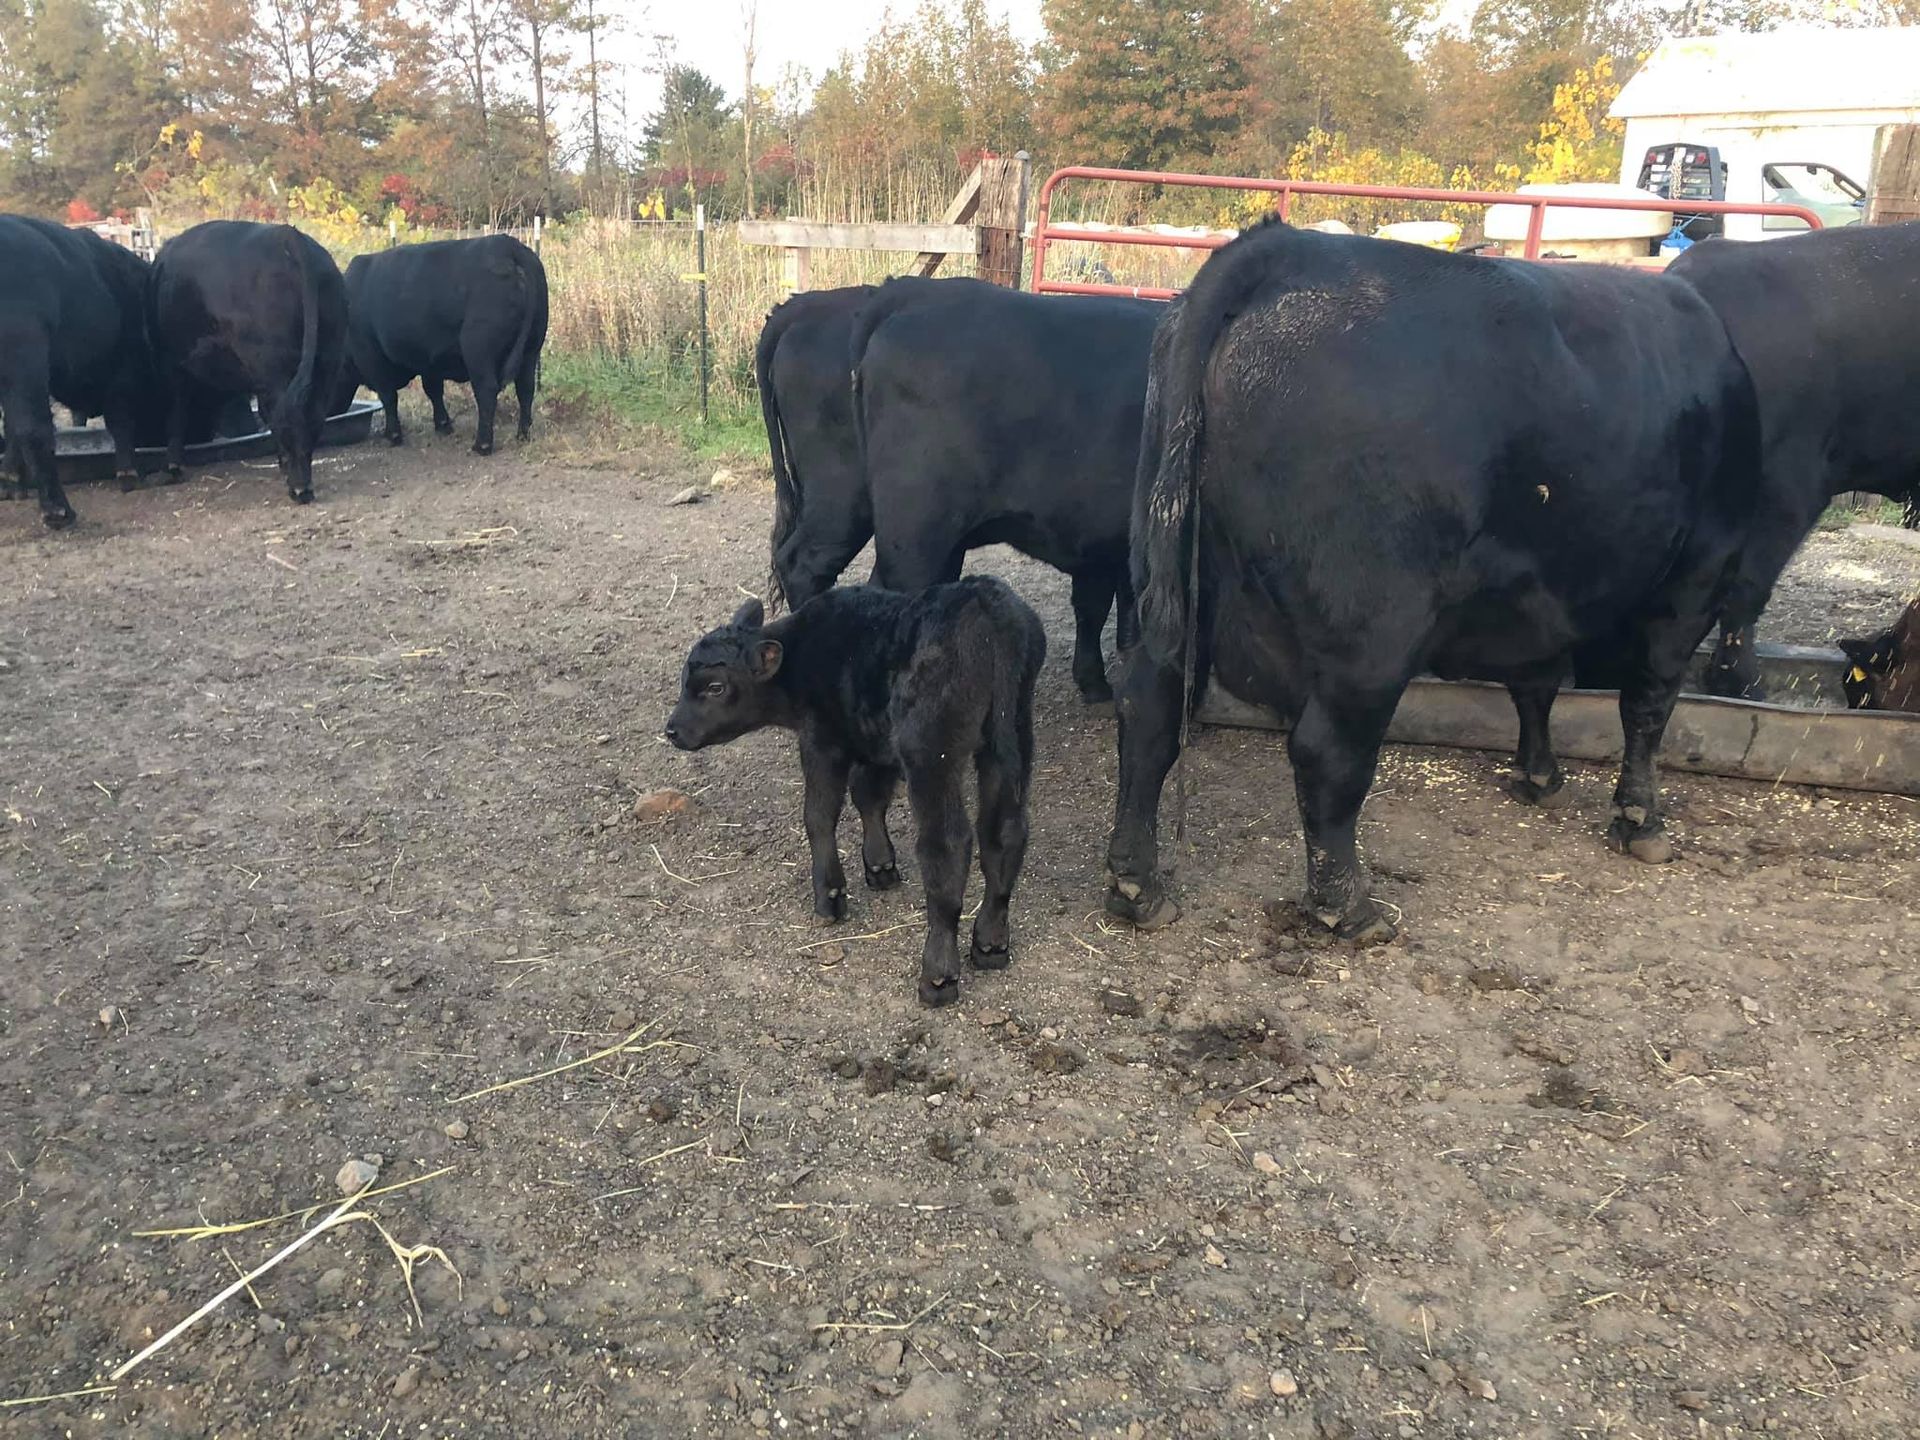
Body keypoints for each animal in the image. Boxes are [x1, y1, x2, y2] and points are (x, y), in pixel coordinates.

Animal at [0, 215, 164, 527]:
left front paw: (11, 485)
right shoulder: (124, 372)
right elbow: (120, 420)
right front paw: (129, 476)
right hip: (24, 352)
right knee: (34, 428)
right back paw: (59, 512)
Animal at [149, 220, 348, 505]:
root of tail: (287, 235)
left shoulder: (171, 364)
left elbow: (176, 412)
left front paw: (173, 468)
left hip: (275, 366)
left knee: (288, 416)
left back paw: (299, 488)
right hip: (328, 358)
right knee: (310, 414)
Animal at [337, 234, 549, 454]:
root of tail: (509, 245)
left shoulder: (371, 358)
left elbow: (388, 396)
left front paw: (393, 435)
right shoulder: (429, 360)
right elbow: (433, 390)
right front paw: (443, 425)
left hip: (478, 351)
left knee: (487, 390)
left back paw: (482, 445)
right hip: (531, 348)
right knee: (525, 388)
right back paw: (523, 435)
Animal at [665, 579, 1045, 1006]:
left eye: (715, 687)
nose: (672, 730)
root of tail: (984, 604)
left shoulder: (821, 738)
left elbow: (819, 814)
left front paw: (830, 895)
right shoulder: (873, 738)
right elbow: (869, 795)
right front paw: (880, 867)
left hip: (930, 747)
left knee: (947, 845)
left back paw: (938, 975)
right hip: (1011, 735)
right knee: (1004, 832)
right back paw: (991, 943)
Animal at [1105, 218, 1765, 944]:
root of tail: (1289, 247)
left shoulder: (1539, 598)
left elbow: (1537, 681)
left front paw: (1539, 774)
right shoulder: (1696, 575)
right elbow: (1647, 703)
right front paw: (1640, 819)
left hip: (1171, 580)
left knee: (1149, 713)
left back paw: (1139, 885)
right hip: (1373, 630)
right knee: (1326, 752)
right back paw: (1350, 906)